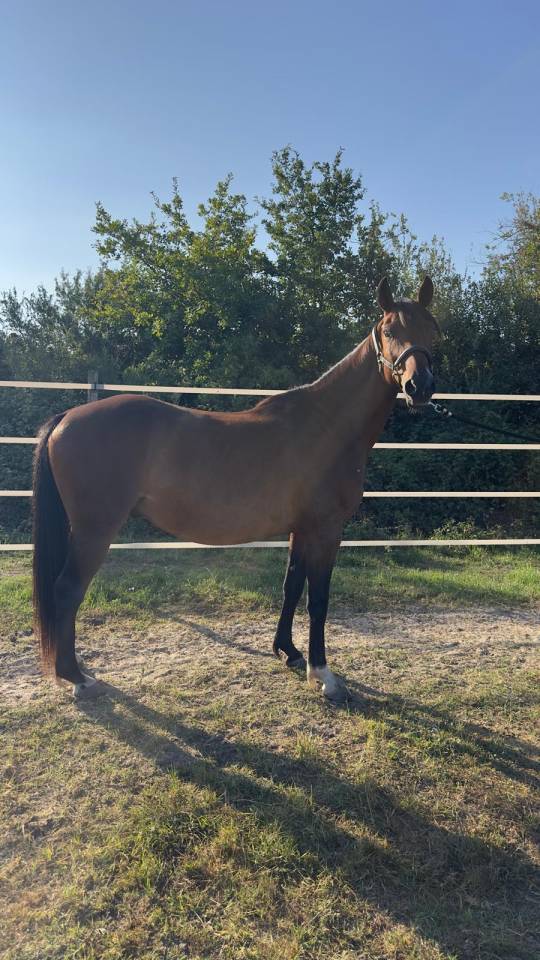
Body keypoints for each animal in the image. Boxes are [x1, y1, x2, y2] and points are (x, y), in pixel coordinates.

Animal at [32, 276, 438, 702]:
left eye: (433, 330)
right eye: (389, 331)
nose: (420, 386)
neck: (327, 425)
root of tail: (67, 418)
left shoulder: (300, 530)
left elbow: (291, 586)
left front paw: (288, 652)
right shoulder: (326, 531)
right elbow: (319, 601)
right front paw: (323, 674)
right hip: (94, 531)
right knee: (67, 591)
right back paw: (75, 677)